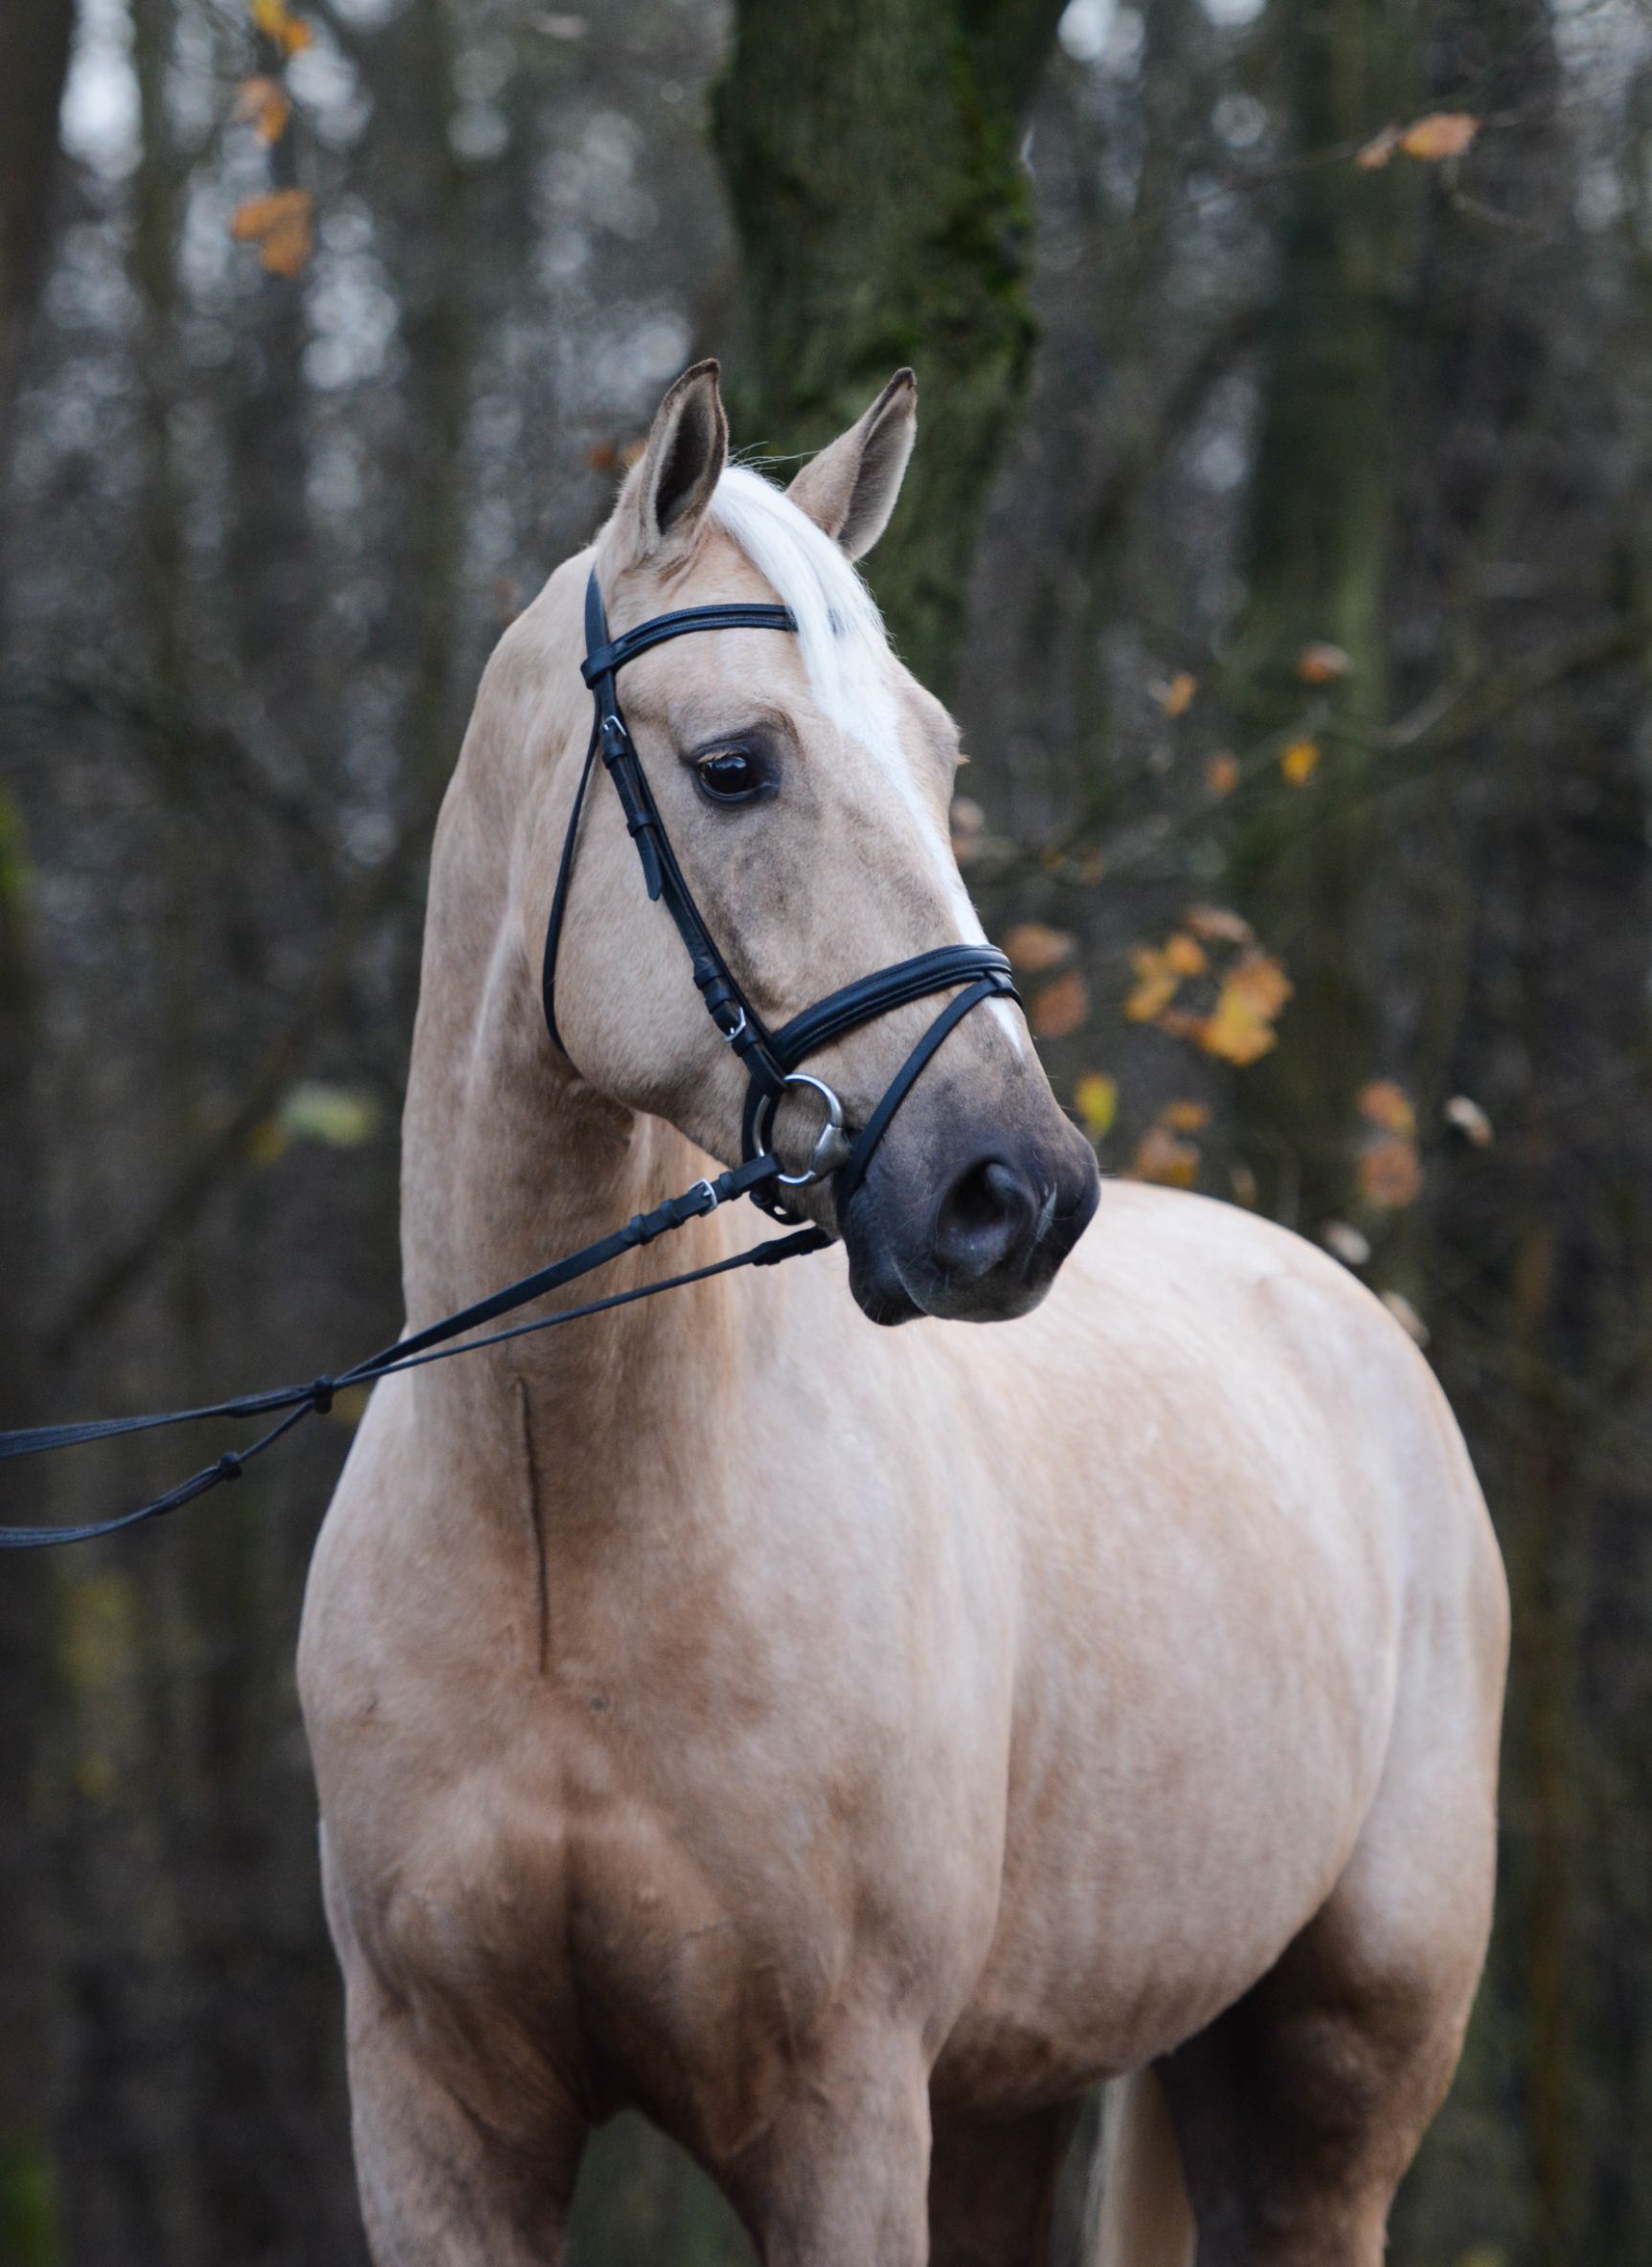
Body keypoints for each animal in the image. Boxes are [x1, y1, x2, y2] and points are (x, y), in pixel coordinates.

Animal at [296, 362, 1505, 2257]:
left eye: (941, 763)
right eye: (735, 765)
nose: (1017, 1190)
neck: (566, 1537)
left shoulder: (839, 2119)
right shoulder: (438, 2128)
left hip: (1329, 2084)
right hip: (1021, 2089)